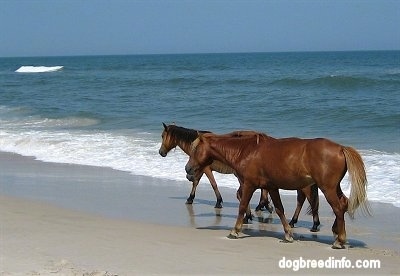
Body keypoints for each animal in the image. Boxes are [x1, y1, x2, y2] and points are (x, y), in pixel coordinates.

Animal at [186, 131, 370, 248]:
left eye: (196, 149)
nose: (188, 169)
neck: (246, 151)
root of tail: (341, 148)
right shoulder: (272, 187)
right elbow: (280, 210)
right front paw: (288, 234)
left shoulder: (249, 185)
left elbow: (242, 206)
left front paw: (235, 231)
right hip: (333, 187)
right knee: (344, 204)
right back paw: (336, 232)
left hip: (328, 188)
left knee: (338, 208)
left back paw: (339, 240)